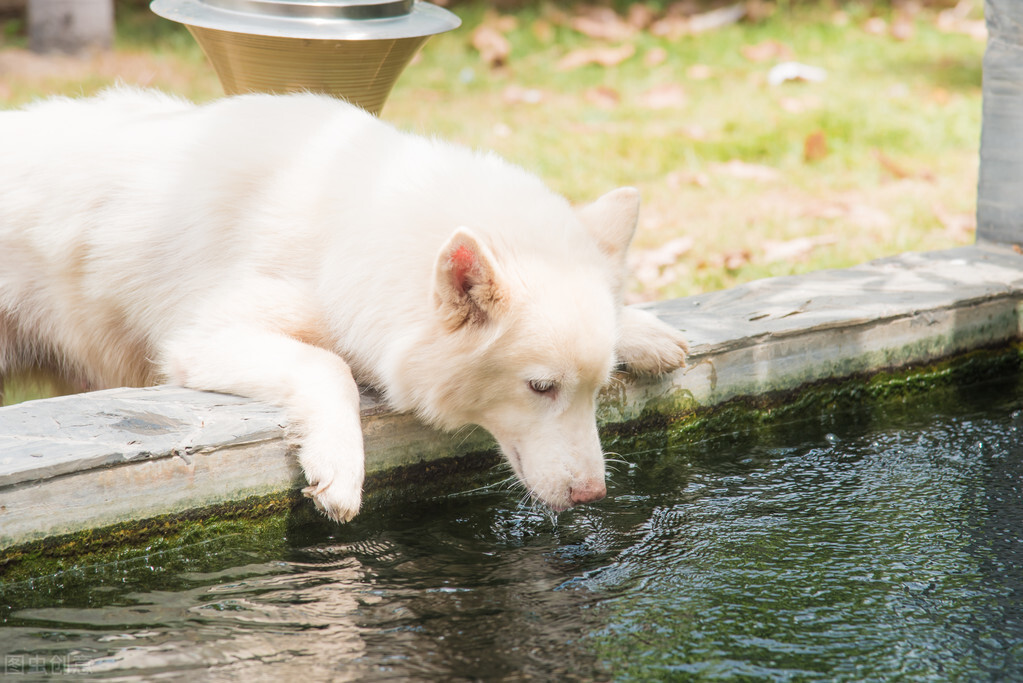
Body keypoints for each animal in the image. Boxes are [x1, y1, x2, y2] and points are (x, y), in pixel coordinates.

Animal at [1, 87, 687, 519]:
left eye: (597, 389)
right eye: (541, 388)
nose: (593, 497)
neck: (354, 220)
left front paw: (646, 330)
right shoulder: (201, 337)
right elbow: (328, 366)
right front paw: (338, 465)